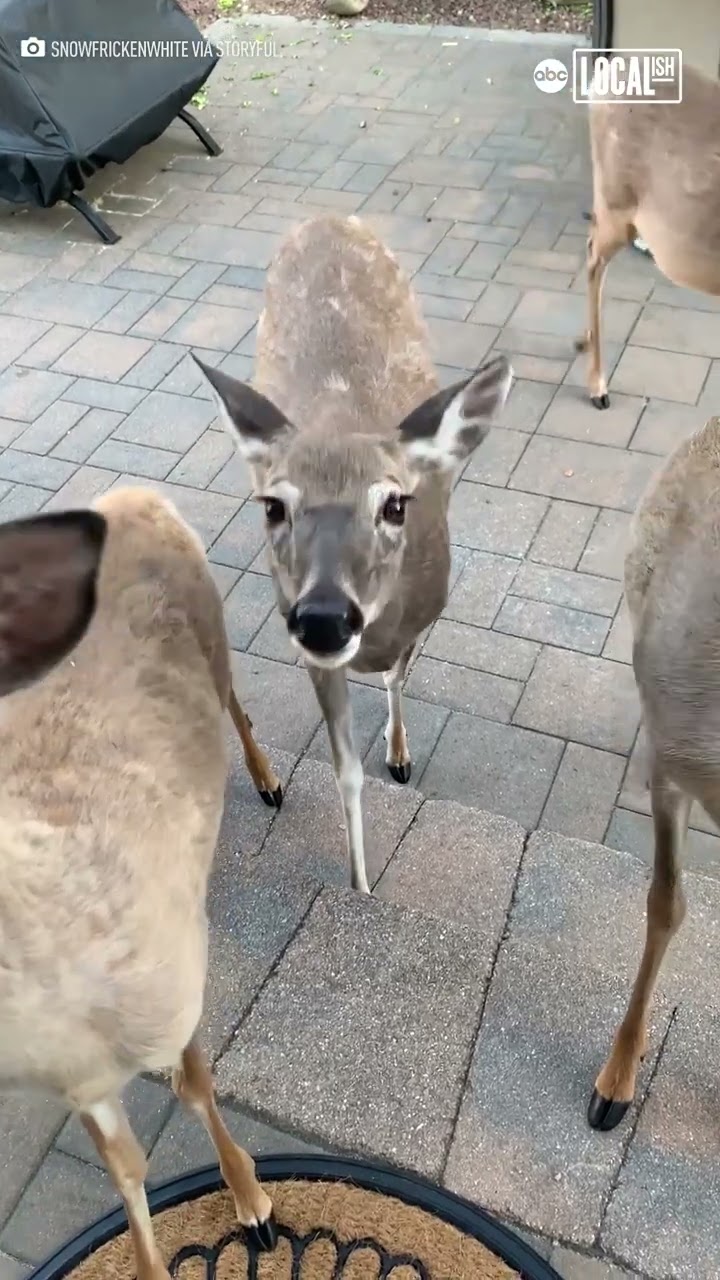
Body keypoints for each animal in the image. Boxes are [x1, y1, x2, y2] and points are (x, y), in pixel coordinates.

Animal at [0, 488, 280, 1280]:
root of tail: (131, 495)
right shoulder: (82, 1083)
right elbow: (123, 1169)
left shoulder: (177, 978)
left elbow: (195, 1087)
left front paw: (254, 1206)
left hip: (215, 631)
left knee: (237, 701)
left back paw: (268, 780)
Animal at [193, 215, 512, 896]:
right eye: (272, 506)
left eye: (395, 504)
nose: (323, 617)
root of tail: (325, 218)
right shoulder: (310, 651)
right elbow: (345, 772)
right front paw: (361, 884)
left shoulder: (424, 617)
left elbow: (396, 678)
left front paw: (400, 755)